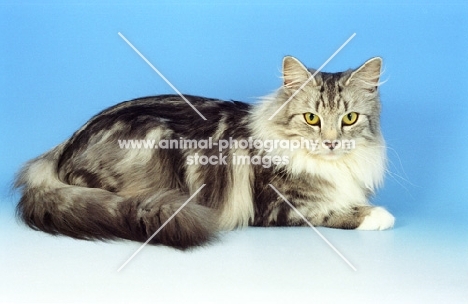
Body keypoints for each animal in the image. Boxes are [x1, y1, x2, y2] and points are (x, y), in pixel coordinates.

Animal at [14, 55, 394, 248]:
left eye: (349, 118)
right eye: (311, 119)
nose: (330, 142)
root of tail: (62, 148)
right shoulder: (280, 205)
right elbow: (335, 210)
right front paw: (378, 215)